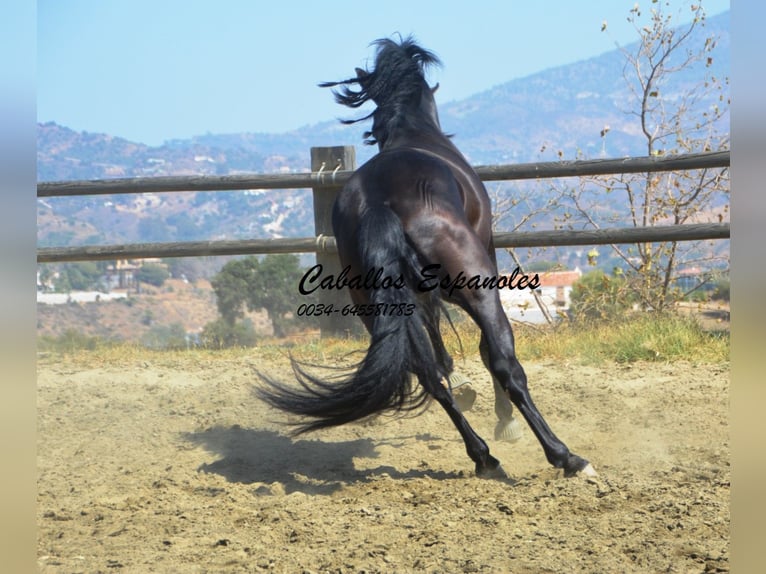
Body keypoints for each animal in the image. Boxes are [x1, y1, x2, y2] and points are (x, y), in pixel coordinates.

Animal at [260, 33, 596, 480]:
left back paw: (484, 457)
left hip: (374, 305)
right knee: (503, 363)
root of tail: (377, 201)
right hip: (477, 289)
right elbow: (485, 353)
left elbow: (438, 345)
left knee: (429, 376)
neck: (414, 133)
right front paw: (506, 422)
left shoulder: (418, 298)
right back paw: (565, 456)